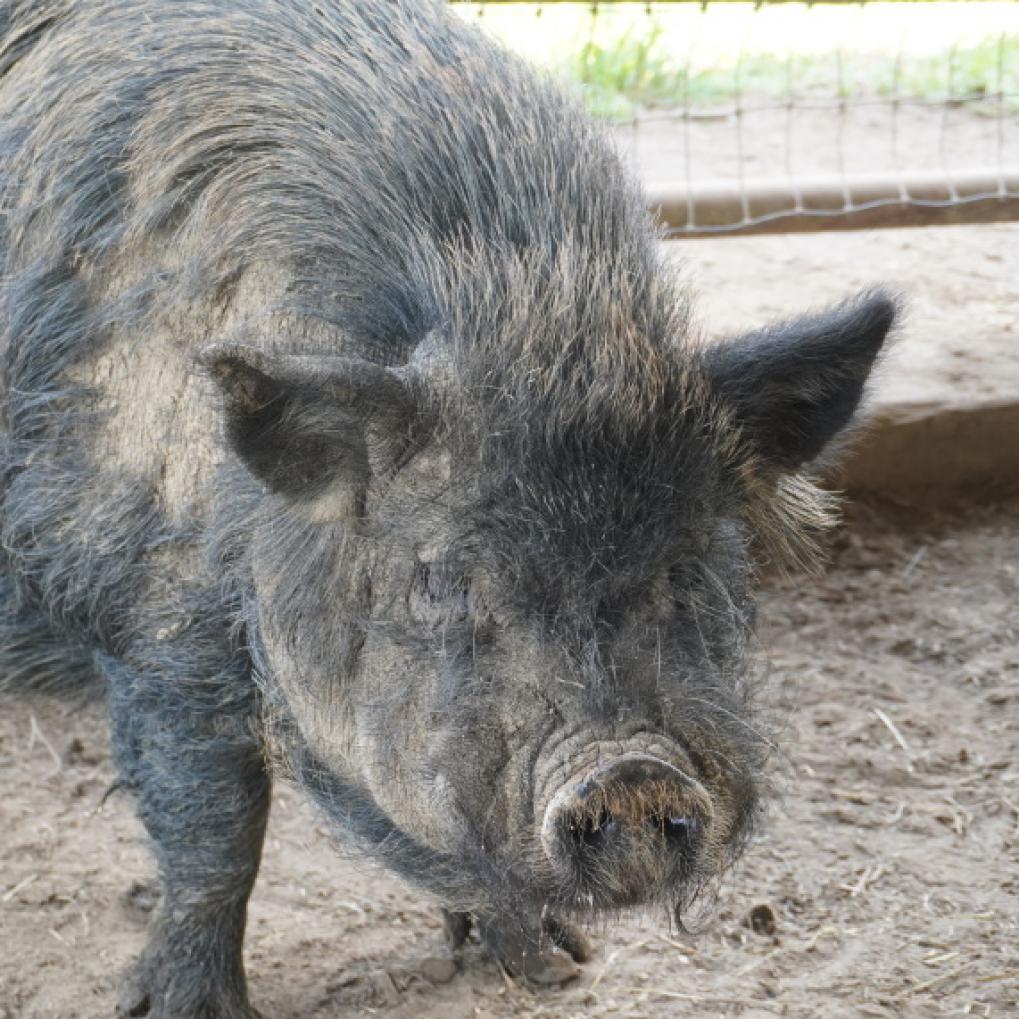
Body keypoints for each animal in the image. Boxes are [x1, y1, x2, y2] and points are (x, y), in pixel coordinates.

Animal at [0, 1, 896, 1016]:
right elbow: (216, 827)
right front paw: (186, 1006)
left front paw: (556, 967)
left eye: (691, 567)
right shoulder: (158, 626)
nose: (630, 772)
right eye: (443, 580)